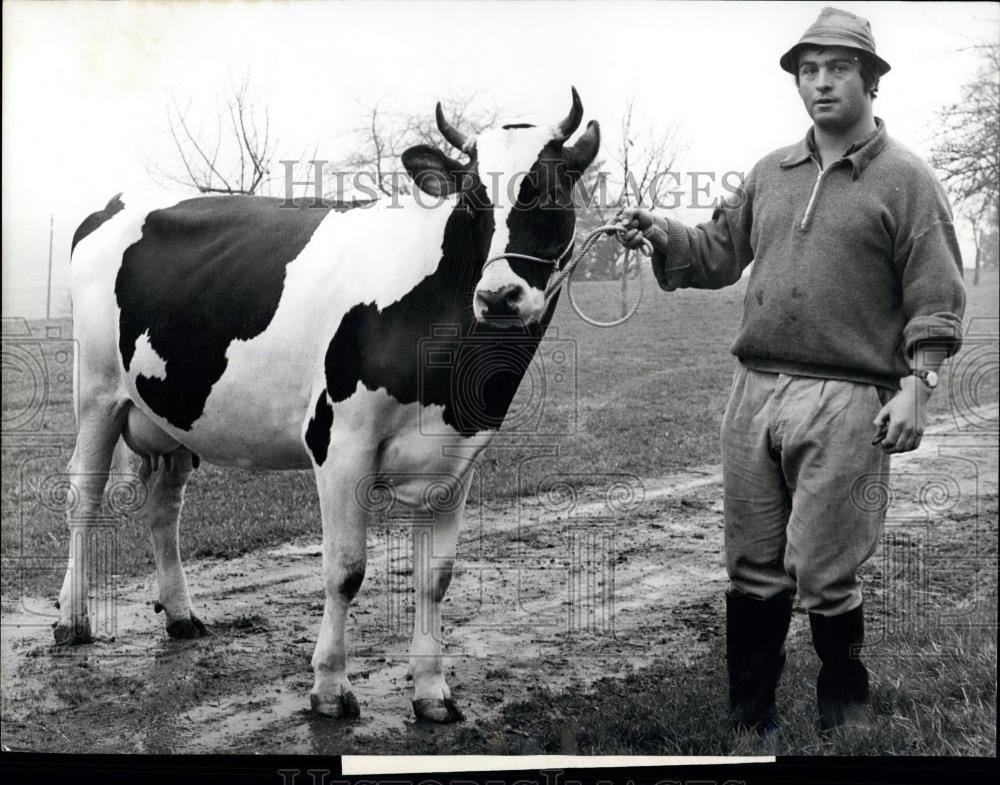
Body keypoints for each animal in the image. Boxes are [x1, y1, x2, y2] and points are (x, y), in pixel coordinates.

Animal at [58, 89, 596, 720]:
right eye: (471, 201)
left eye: (552, 191)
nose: (498, 295)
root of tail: (117, 203)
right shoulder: (339, 445)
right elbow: (346, 571)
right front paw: (331, 688)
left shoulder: (455, 458)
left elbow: (435, 577)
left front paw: (432, 692)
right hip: (96, 392)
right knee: (83, 496)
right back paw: (73, 620)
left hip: (172, 411)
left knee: (165, 506)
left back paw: (182, 614)